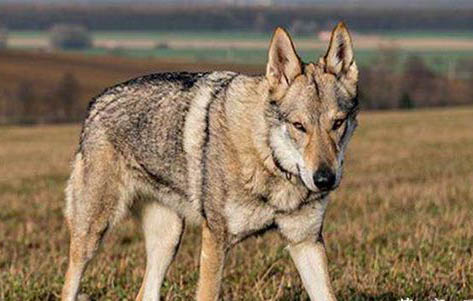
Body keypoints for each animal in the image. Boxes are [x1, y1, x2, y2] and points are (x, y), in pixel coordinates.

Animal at [61, 22, 358, 298]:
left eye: (337, 123)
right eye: (299, 126)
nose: (324, 179)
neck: (268, 159)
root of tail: (96, 102)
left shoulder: (306, 242)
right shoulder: (215, 240)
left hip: (169, 238)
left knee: (145, 293)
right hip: (91, 235)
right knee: (69, 285)